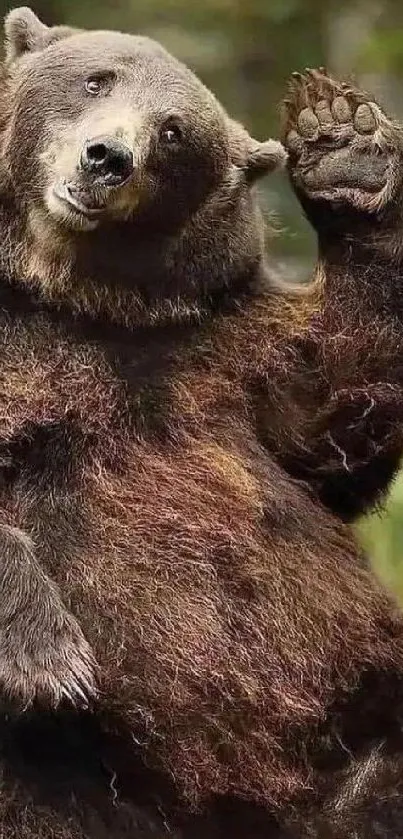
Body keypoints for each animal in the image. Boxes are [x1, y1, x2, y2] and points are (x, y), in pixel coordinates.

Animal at [0, 6, 403, 839]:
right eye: (97, 78)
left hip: (362, 739)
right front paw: (47, 654)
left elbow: (324, 422)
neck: (66, 289)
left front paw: (342, 140)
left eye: (174, 130)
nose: (106, 158)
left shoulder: (215, 342)